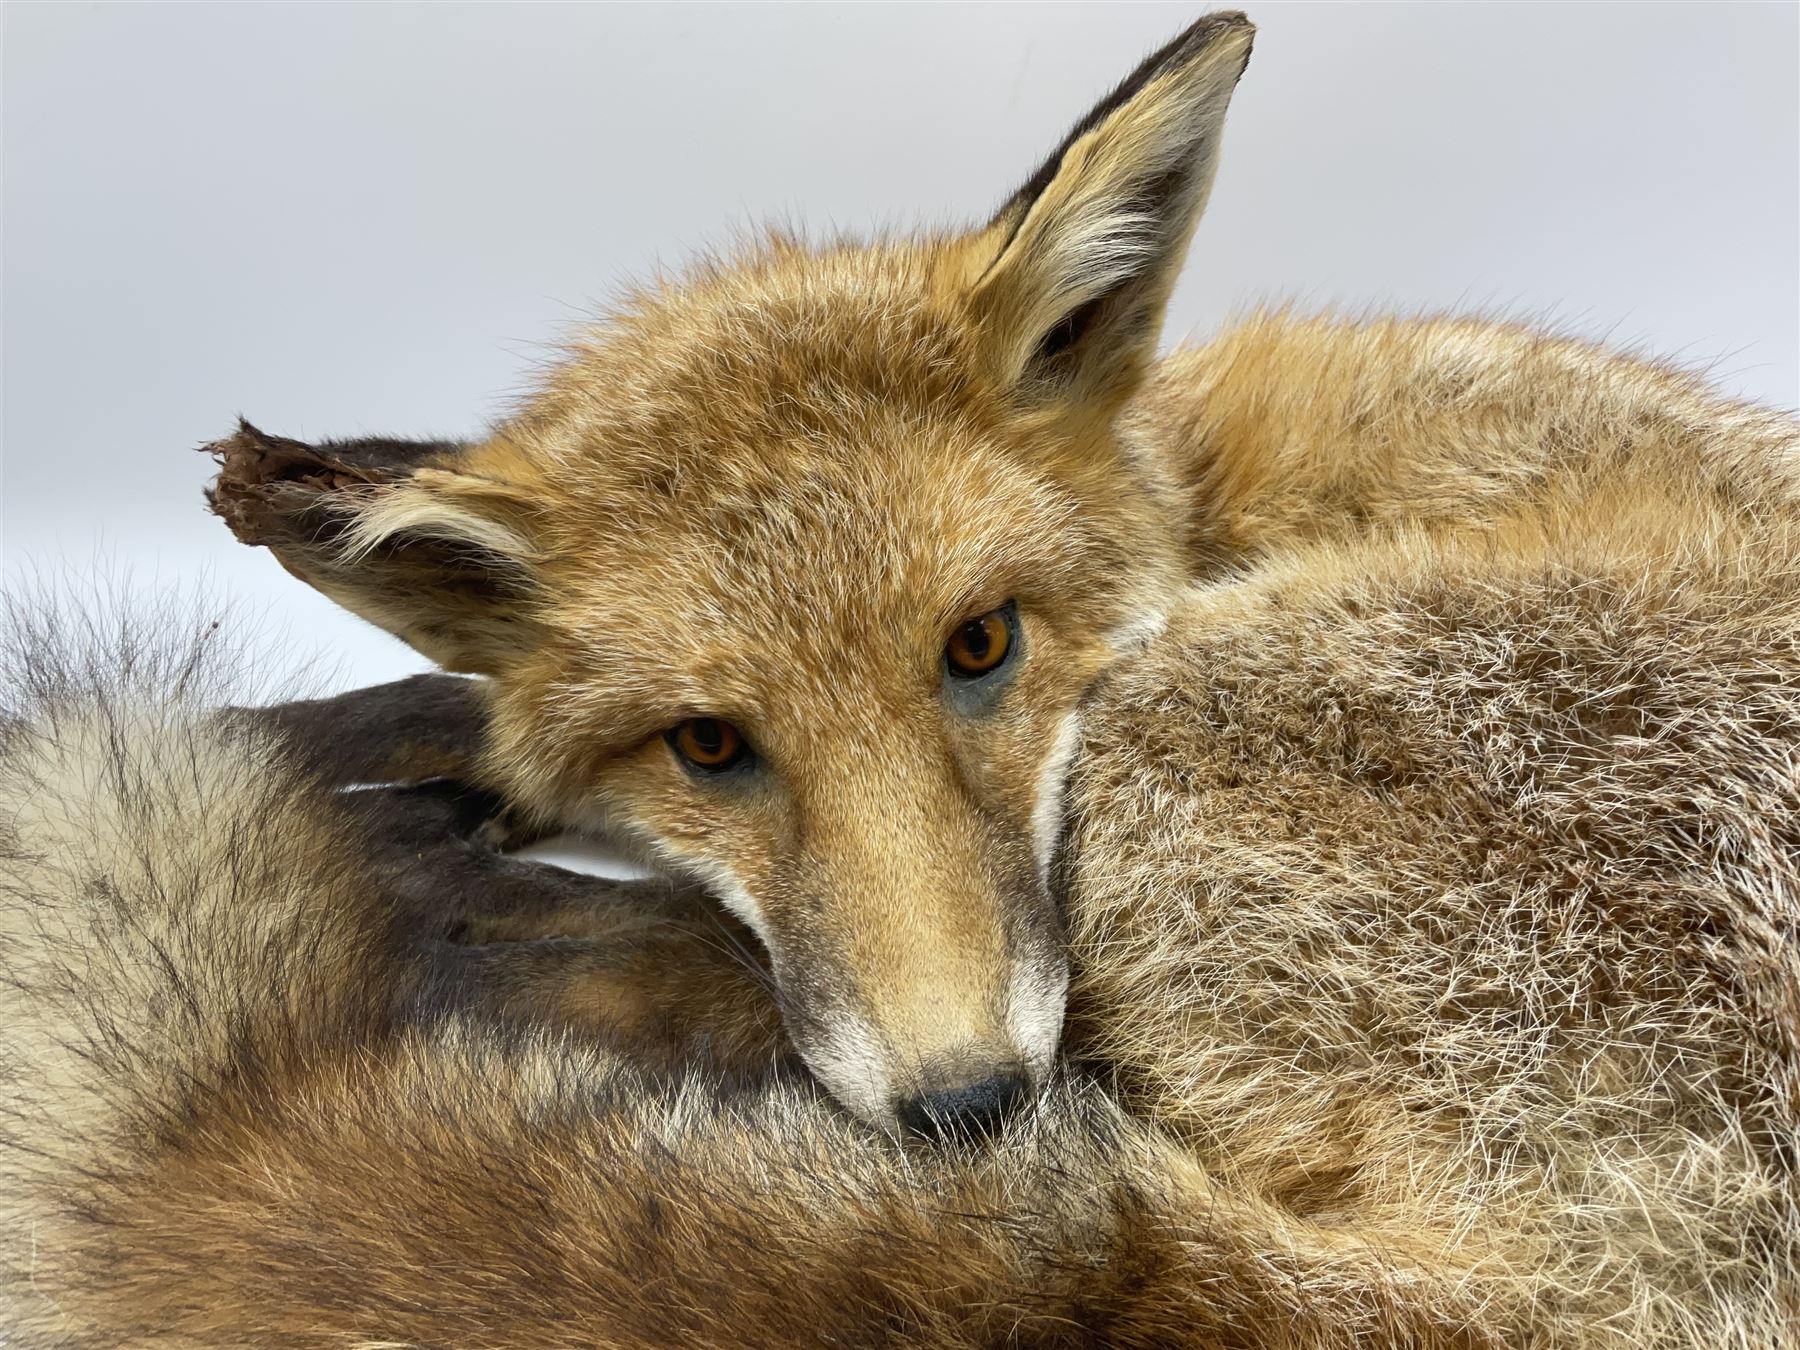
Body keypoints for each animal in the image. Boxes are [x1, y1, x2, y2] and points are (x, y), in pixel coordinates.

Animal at [5, 8, 1799, 1346]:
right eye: (707, 744)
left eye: (982, 645)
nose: (965, 1106)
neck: (1205, 487)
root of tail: (1636, 1280)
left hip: (1174, 741)